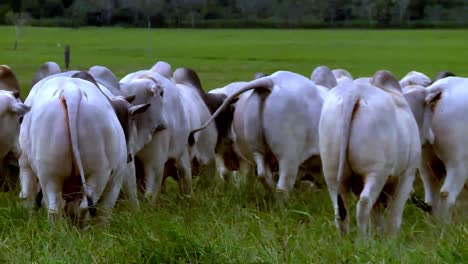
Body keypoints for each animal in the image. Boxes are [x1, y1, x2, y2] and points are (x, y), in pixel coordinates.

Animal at [320, 71, 422, 236]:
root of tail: (354, 92)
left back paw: (345, 240)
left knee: (340, 210)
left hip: (332, 172)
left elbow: (377, 215)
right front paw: (391, 239)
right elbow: (394, 215)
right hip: (377, 171)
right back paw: (363, 240)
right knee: (364, 203)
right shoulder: (407, 174)